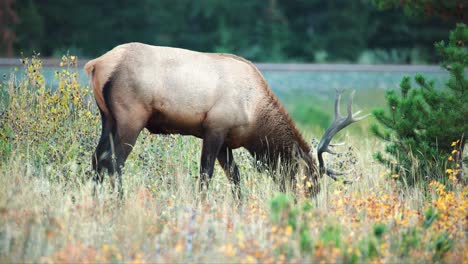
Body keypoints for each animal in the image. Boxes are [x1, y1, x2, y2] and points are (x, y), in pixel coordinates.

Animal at [85, 42, 370, 198]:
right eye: (309, 180)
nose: (312, 204)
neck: (254, 118)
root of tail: (96, 64)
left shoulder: (227, 141)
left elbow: (235, 177)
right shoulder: (215, 128)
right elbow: (206, 174)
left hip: (107, 118)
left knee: (97, 158)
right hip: (131, 116)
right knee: (114, 162)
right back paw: (119, 203)